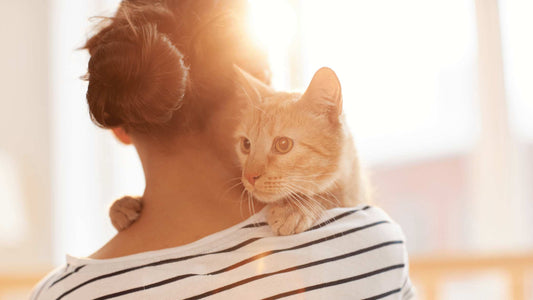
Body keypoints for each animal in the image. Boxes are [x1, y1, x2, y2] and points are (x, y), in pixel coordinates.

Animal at [108, 67, 366, 234]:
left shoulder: (354, 194)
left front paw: (295, 208)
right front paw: (124, 205)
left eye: (283, 145)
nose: (250, 176)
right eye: (246, 144)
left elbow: (331, 195)